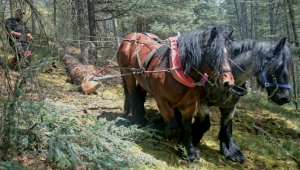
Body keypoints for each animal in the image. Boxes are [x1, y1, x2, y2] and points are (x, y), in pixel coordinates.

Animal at [118, 24, 237, 160]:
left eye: (229, 53)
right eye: (213, 53)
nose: (228, 83)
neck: (176, 71)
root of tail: (131, 36)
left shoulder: (190, 105)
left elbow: (187, 128)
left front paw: (188, 152)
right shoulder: (162, 102)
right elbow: (173, 126)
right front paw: (159, 132)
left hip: (142, 79)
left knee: (140, 96)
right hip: (128, 74)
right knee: (133, 96)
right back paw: (139, 121)